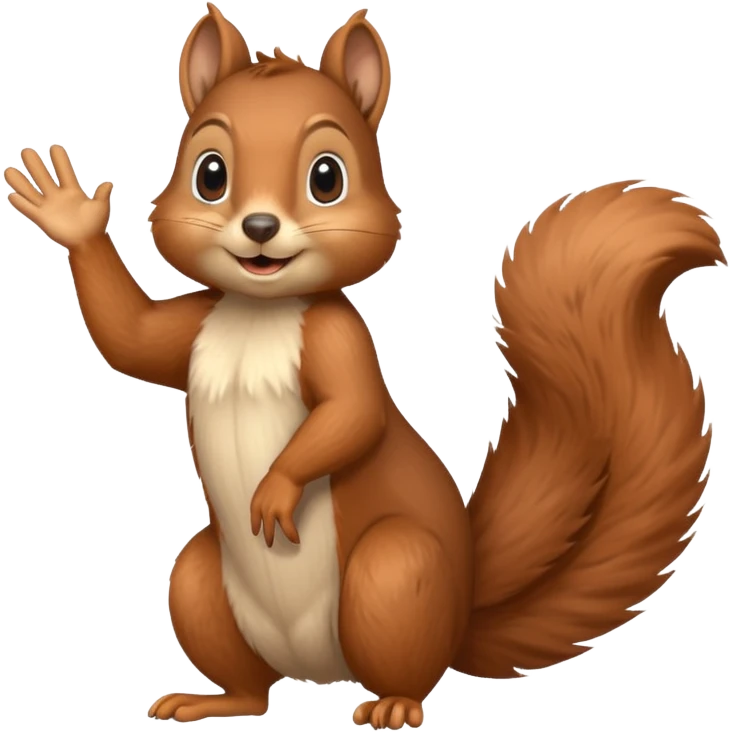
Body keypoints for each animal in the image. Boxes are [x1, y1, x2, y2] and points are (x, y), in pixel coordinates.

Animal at [3, 4, 725, 730]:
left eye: (328, 178)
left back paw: (395, 705)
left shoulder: (339, 339)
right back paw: (217, 699)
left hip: (394, 575)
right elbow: (129, 338)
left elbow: (353, 413)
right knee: (249, 679)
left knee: (403, 652)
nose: (259, 228)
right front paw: (71, 216)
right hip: (202, 584)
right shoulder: (196, 324)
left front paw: (276, 488)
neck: (259, 313)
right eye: (209, 174)